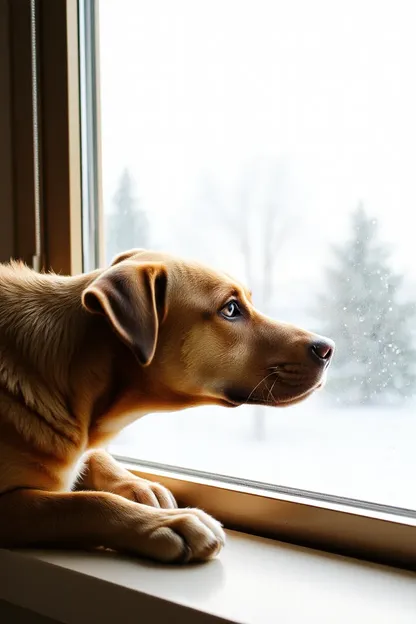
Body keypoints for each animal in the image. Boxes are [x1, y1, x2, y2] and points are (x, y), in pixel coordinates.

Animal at [0, 250, 334, 564]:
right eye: (230, 309)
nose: (327, 349)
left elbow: (97, 457)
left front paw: (139, 486)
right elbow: (84, 503)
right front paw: (167, 523)